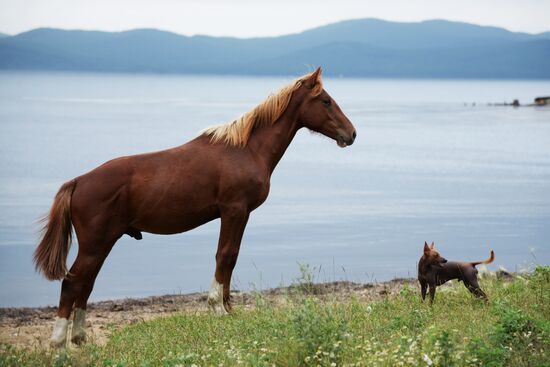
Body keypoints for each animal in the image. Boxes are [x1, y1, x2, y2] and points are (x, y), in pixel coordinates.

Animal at [34, 68, 358, 348]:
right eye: (325, 100)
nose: (352, 133)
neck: (245, 150)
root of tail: (79, 181)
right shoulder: (234, 210)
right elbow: (224, 255)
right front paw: (217, 307)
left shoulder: (240, 215)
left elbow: (231, 258)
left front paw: (228, 307)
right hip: (95, 244)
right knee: (72, 283)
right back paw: (58, 342)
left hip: (102, 243)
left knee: (85, 284)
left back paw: (79, 338)